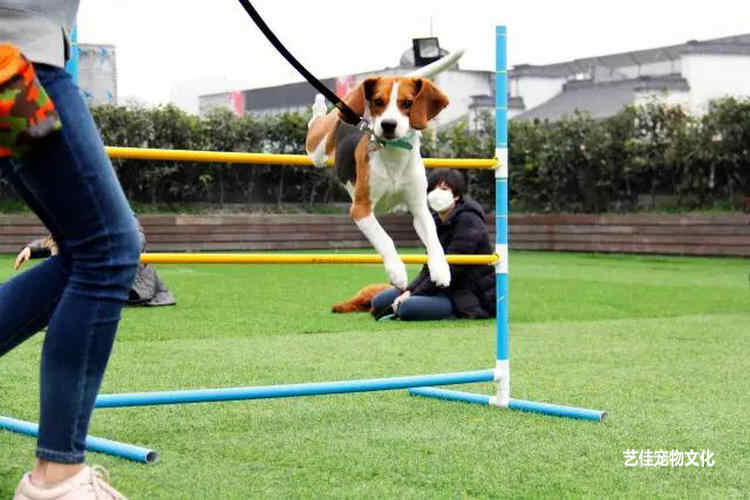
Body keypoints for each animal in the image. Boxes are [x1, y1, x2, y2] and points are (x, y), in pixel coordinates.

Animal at [306, 77, 452, 290]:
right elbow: (385, 239)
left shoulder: (419, 209)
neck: (394, 153)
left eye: (407, 103)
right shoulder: (360, 209)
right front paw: (397, 271)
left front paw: (441, 269)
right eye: (378, 101)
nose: (388, 124)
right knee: (315, 123)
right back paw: (318, 105)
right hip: (317, 148)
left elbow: (434, 239)